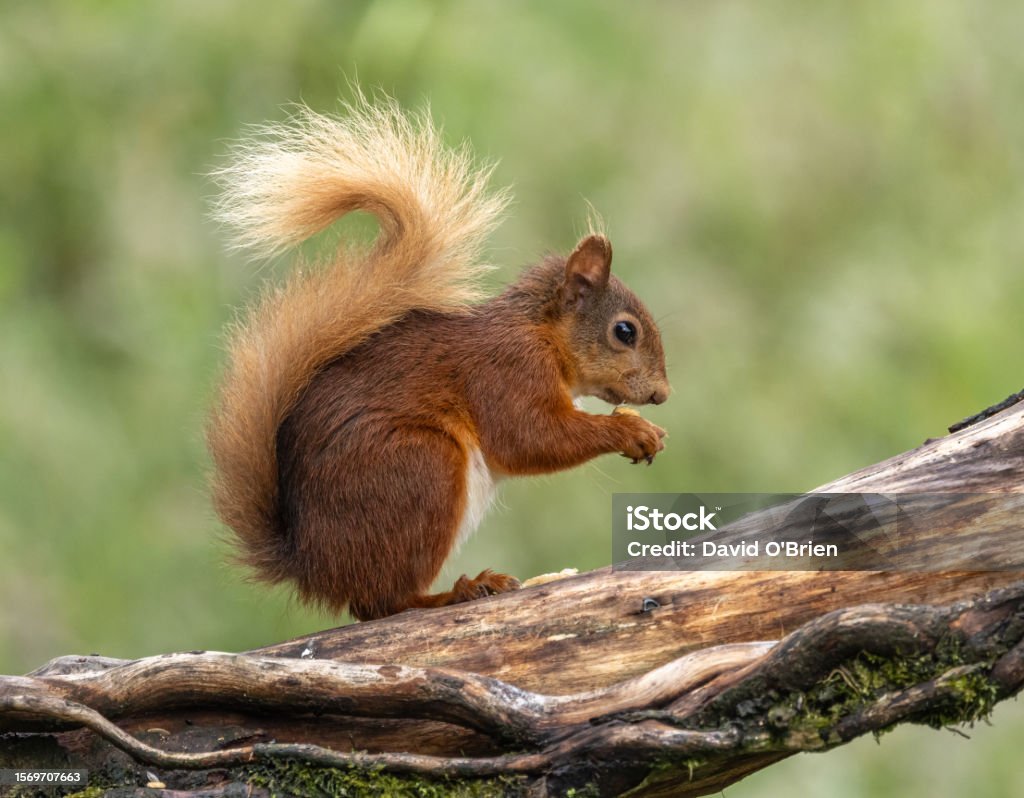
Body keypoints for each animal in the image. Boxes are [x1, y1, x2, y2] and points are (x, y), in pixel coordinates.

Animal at [207, 96, 670, 621]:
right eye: (625, 331)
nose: (662, 394)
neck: (542, 334)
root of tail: (312, 565)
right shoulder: (507, 369)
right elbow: (530, 437)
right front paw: (632, 431)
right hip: (421, 468)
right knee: (383, 602)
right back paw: (458, 590)